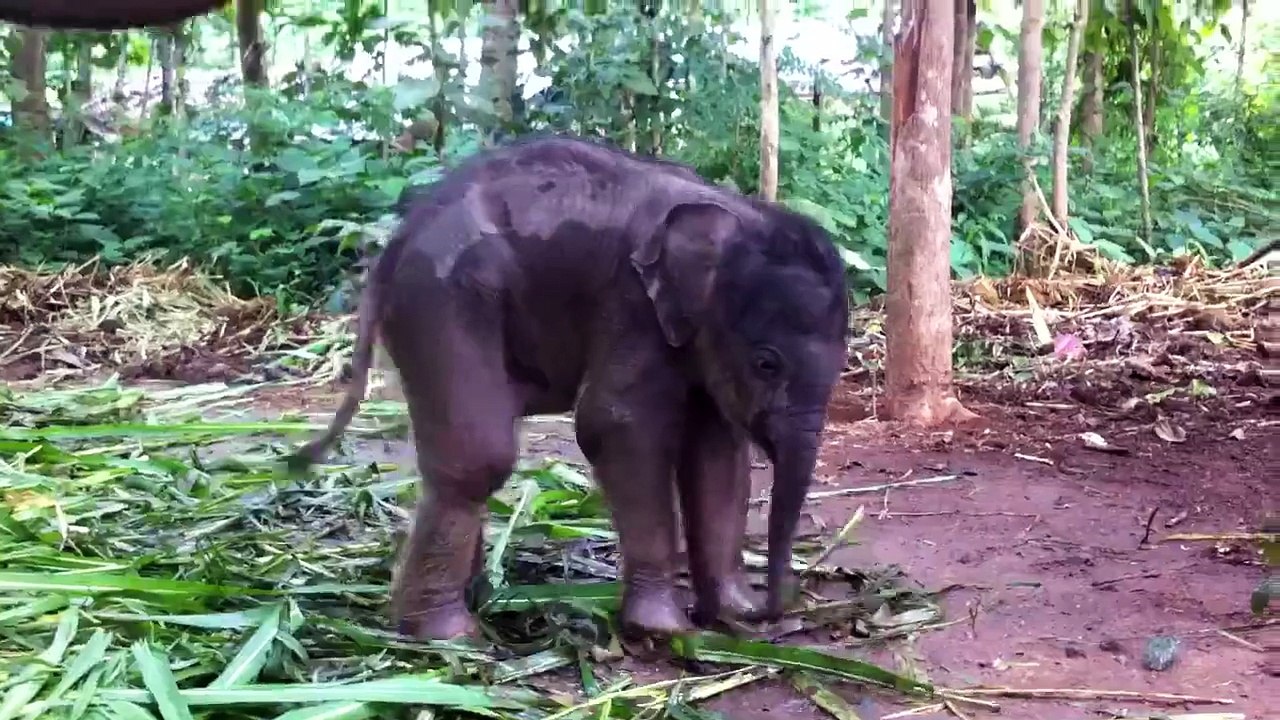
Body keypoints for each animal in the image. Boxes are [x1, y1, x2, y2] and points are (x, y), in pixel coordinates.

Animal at [291, 135, 850, 640]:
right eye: (767, 364)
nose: (775, 609)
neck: (735, 214)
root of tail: (395, 240)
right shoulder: (631, 304)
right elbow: (616, 425)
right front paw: (663, 631)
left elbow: (717, 457)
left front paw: (731, 615)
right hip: (441, 299)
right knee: (477, 458)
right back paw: (448, 636)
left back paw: (473, 604)